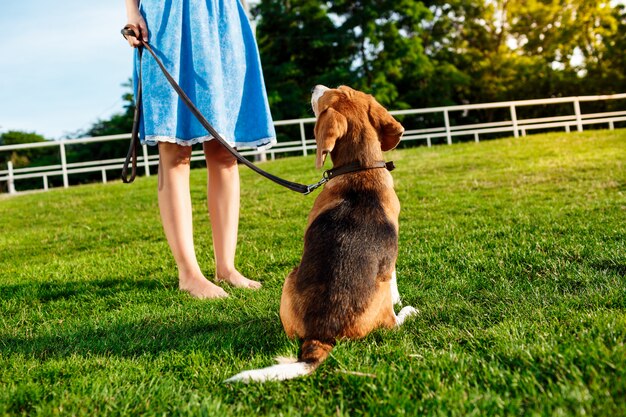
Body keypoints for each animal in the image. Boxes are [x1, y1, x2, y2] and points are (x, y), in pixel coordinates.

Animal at [224, 85, 414, 384]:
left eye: (339, 90)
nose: (316, 87)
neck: (360, 168)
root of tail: (322, 334)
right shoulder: (390, 262)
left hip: (290, 277)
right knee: (393, 323)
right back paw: (408, 312)